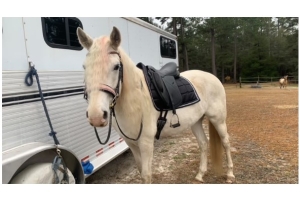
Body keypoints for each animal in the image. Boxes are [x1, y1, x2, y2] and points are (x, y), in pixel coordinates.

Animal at [77, 26, 234, 183]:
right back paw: (200, 174)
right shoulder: (131, 143)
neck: (135, 101)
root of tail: (212, 77)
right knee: (203, 143)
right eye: (84, 67)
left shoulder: (146, 143)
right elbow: (140, 171)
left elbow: (146, 175)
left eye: (116, 66)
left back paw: (230, 174)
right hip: (195, 121)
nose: (96, 116)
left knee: (226, 142)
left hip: (218, 119)